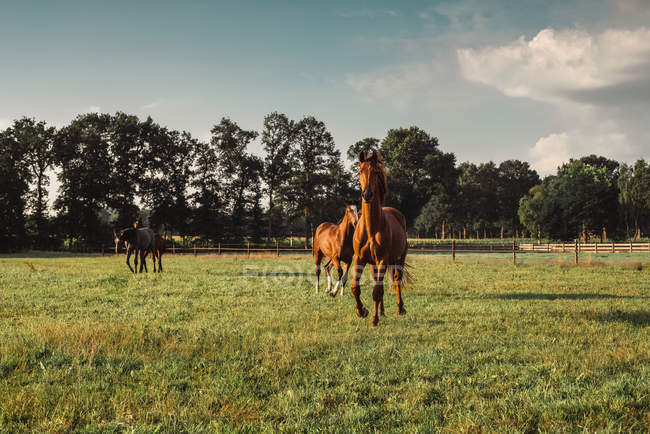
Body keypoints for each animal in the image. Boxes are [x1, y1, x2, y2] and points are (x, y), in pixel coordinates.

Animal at [350, 152, 404, 326]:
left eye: (375, 172)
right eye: (360, 171)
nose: (367, 195)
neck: (371, 228)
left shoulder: (382, 260)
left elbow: (377, 291)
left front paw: (373, 319)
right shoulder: (359, 258)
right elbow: (355, 288)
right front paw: (361, 311)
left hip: (398, 259)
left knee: (396, 279)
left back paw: (400, 308)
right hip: (374, 264)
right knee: (377, 282)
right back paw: (381, 311)